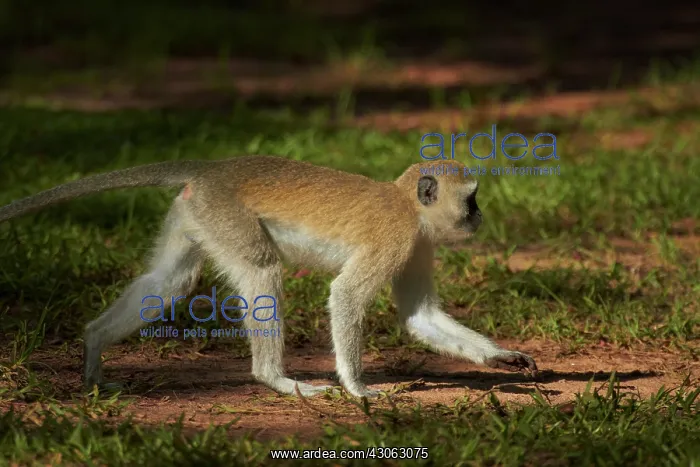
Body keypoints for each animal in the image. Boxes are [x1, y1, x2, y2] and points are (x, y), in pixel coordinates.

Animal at [0, 155, 538, 398]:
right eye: (470, 199)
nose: (479, 216)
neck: (408, 205)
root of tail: (211, 169)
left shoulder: (418, 245)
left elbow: (420, 318)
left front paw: (501, 358)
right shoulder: (397, 237)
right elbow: (345, 294)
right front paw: (358, 389)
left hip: (198, 214)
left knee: (169, 283)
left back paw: (93, 348)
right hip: (227, 216)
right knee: (263, 271)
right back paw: (275, 379)